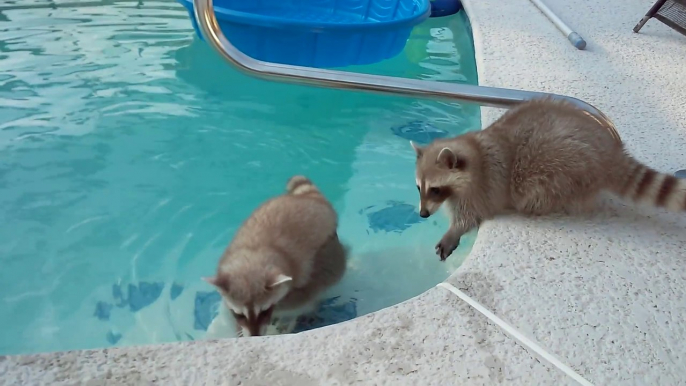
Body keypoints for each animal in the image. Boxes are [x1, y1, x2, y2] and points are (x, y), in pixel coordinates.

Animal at [202, 176, 346, 336]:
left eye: (264, 311)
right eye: (239, 314)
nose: (254, 336)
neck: (253, 253)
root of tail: (312, 200)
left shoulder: (297, 272)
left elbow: (299, 299)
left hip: (328, 251)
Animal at [414, 98, 686, 262]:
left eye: (435, 189)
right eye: (419, 188)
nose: (423, 215)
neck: (473, 149)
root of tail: (611, 153)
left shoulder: (483, 186)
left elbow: (471, 215)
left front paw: (454, 231)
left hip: (563, 165)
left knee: (537, 188)